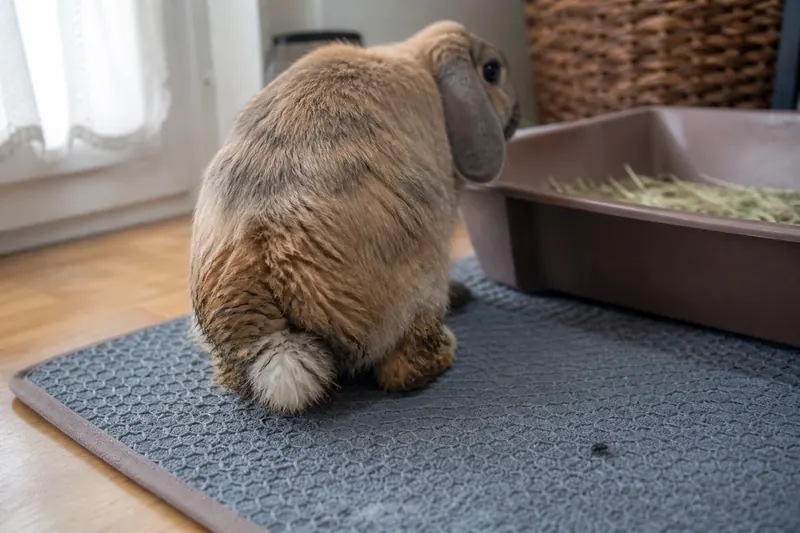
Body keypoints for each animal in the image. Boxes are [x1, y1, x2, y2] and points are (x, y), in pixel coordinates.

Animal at [189, 20, 520, 414]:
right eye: (492, 71)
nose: (518, 109)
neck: (422, 62)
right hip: (424, 282)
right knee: (401, 370)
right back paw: (447, 347)